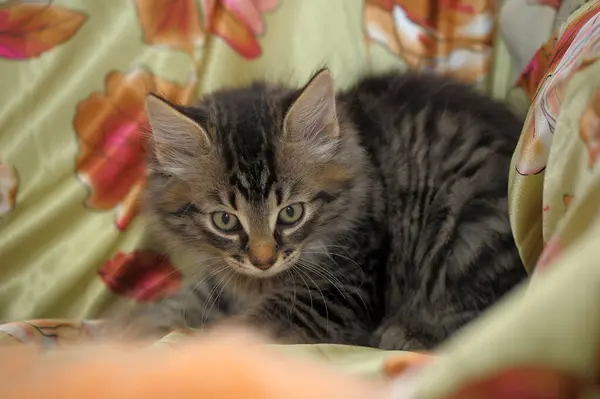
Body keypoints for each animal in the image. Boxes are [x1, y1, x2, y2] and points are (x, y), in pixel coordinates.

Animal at [134, 69, 528, 350]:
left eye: (291, 213)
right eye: (225, 220)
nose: (264, 260)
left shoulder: (338, 294)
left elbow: (244, 329)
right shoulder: (221, 280)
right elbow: (180, 304)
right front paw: (129, 329)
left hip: (465, 235)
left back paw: (408, 333)